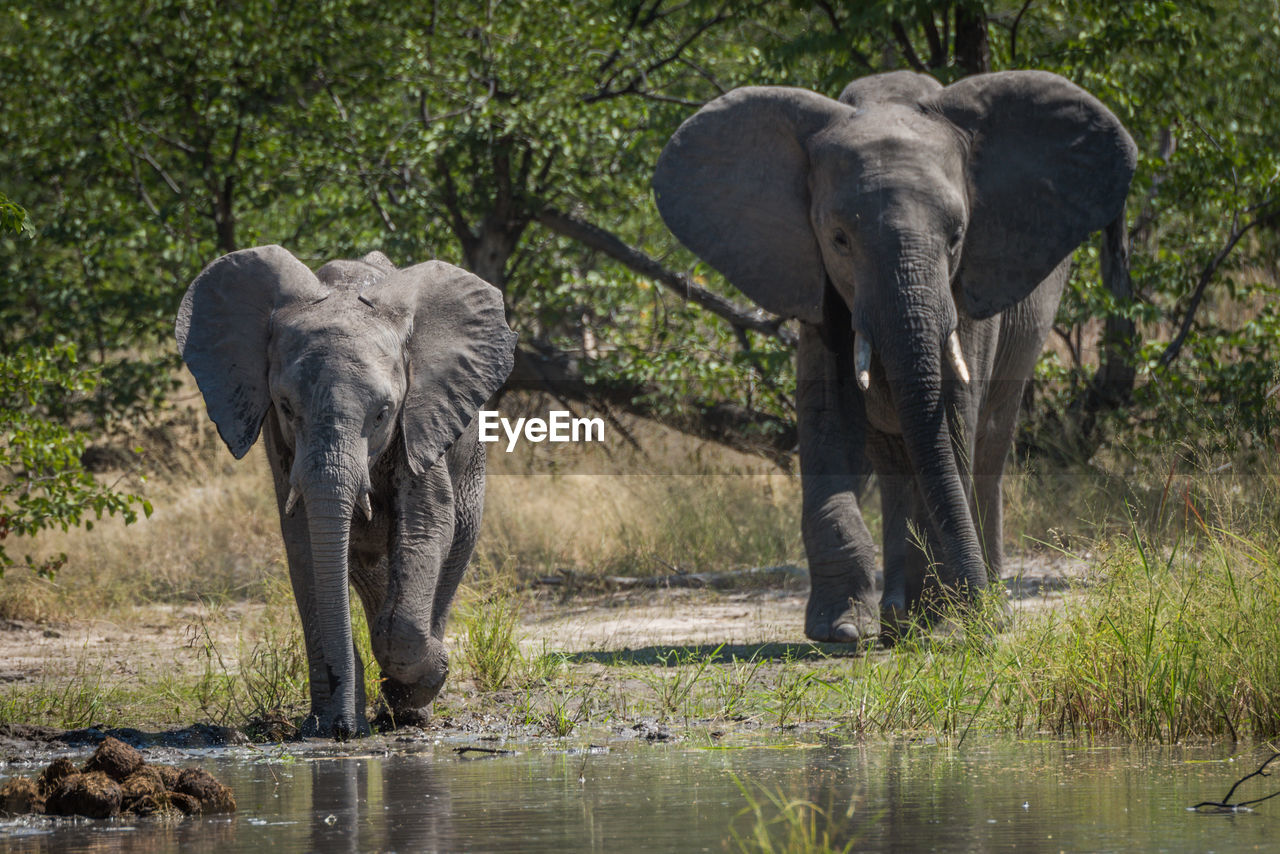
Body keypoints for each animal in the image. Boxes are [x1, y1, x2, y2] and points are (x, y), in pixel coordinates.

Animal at [174, 243, 514, 737]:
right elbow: (303, 544)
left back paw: (412, 710)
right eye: (286, 406)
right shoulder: (279, 442)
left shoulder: (422, 417)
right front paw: (328, 726)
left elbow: (428, 524)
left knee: (454, 549)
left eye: (383, 413)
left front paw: (423, 678)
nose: (343, 732)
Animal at [655, 70, 1136, 645]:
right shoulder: (815, 283)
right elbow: (828, 418)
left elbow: (951, 420)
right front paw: (841, 630)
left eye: (957, 237)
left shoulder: (971, 285)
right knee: (895, 462)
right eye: (839, 239)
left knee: (986, 445)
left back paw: (965, 613)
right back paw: (903, 622)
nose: (979, 627)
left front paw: (947, 624)